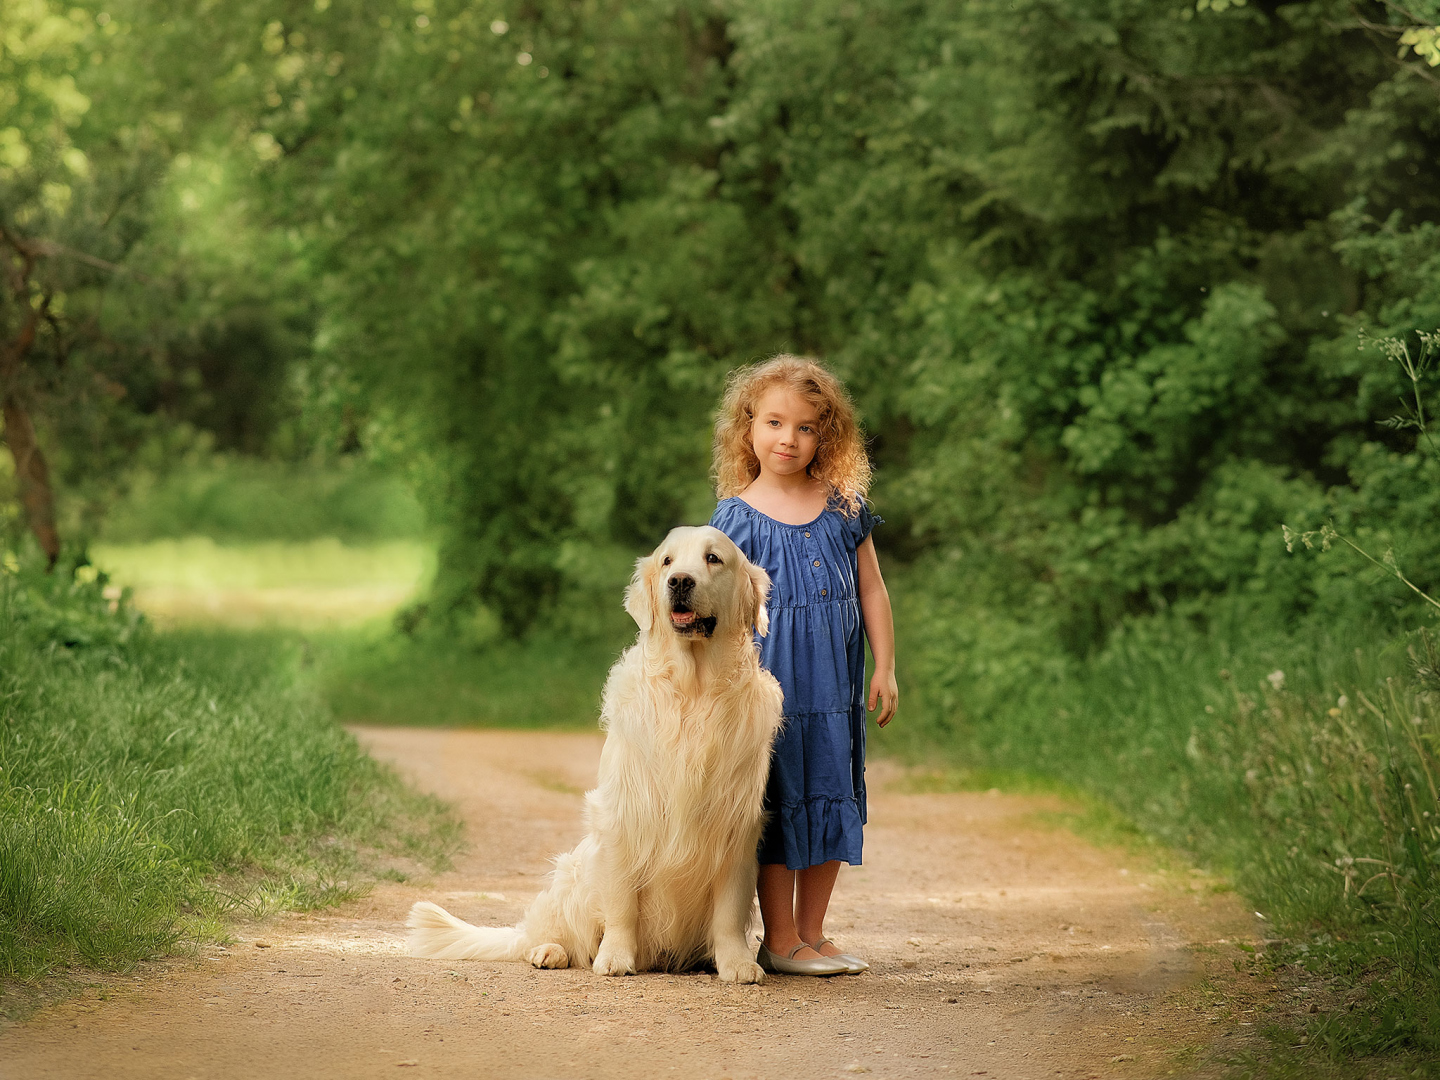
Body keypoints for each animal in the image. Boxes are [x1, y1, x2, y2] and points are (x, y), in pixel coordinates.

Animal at [406, 529, 783, 984]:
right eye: (667, 561)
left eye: (714, 559)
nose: (679, 581)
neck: (691, 692)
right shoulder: (623, 814)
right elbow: (621, 905)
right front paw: (616, 957)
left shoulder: (737, 826)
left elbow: (729, 911)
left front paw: (737, 963)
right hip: (575, 870)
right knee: (547, 932)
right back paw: (549, 950)